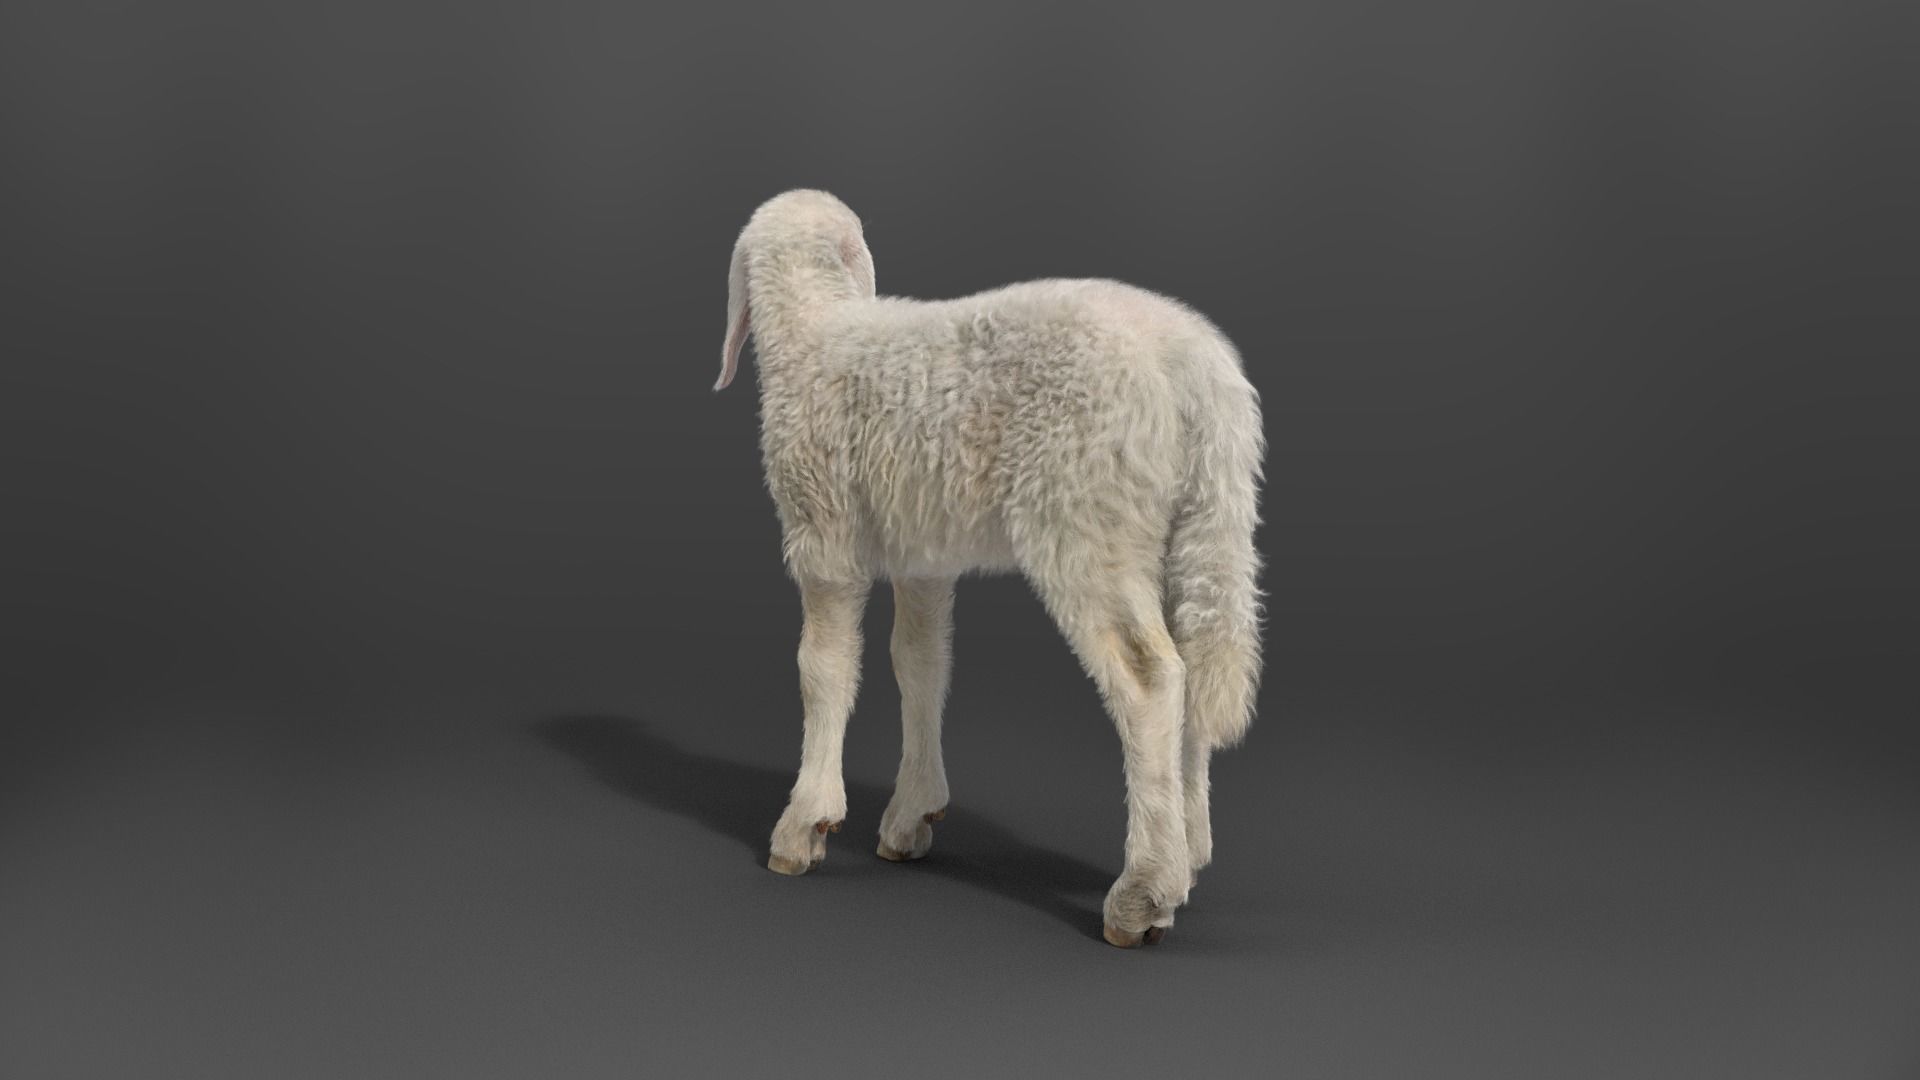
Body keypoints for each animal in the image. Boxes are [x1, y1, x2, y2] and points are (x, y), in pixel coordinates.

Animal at [714, 189, 1264, 947]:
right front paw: (912, 815)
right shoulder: (923, 551)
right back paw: (1186, 856)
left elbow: (822, 669)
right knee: (1197, 667)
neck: (819, 326)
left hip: (1086, 518)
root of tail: (1196, 366)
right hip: (1197, 521)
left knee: (1152, 679)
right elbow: (919, 664)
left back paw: (1142, 894)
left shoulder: (823, 530)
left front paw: (805, 825)